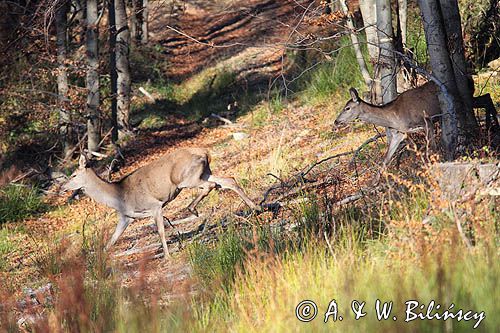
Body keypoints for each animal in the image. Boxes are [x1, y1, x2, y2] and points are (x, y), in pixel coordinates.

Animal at [60, 147, 260, 258]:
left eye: (74, 175)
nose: (62, 187)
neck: (119, 197)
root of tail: (206, 152)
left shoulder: (155, 206)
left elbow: (161, 232)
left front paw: (167, 255)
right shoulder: (127, 217)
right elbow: (111, 241)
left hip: (185, 178)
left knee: (211, 185)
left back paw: (192, 208)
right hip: (204, 172)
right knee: (228, 180)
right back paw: (255, 208)